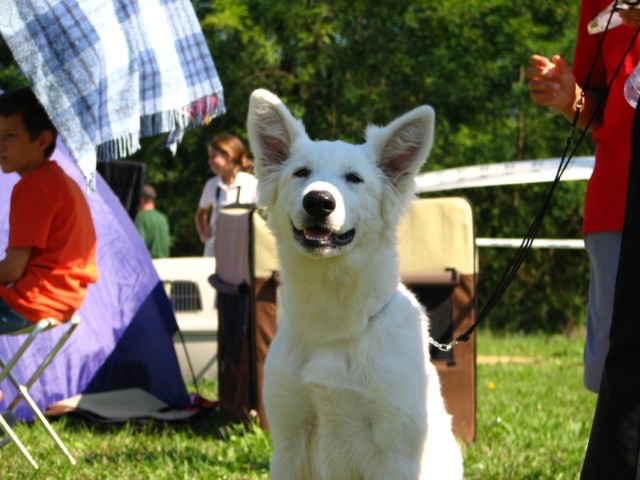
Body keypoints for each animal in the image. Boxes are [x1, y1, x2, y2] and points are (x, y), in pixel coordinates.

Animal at [248, 88, 462, 478]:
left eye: (354, 178)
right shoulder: (288, 442)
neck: (334, 329)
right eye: (301, 173)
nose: (319, 201)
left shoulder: (397, 454)